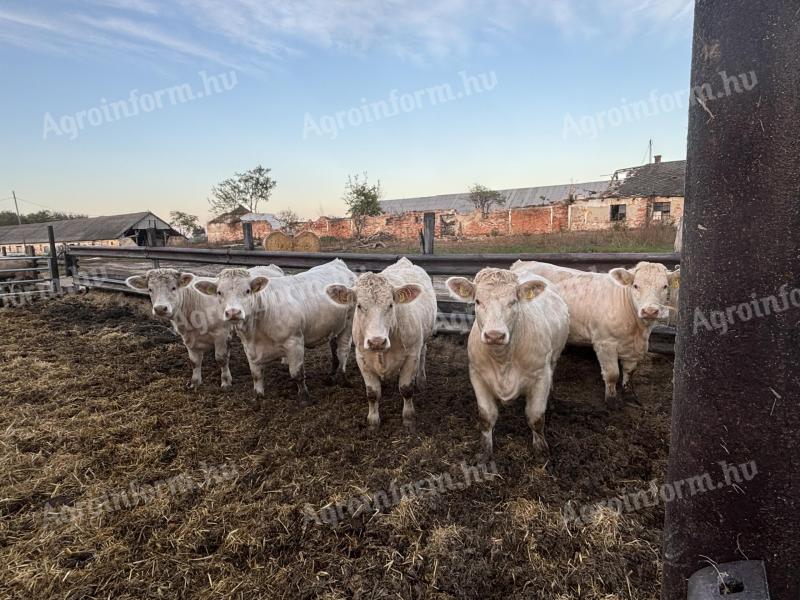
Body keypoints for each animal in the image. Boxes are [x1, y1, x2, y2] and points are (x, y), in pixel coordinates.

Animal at [125, 268, 284, 390]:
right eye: (150, 289)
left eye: (173, 288)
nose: (160, 308)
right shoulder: (188, 338)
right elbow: (194, 361)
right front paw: (195, 383)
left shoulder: (221, 334)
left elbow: (221, 359)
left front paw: (226, 382)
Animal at [192, 258, 354, 404]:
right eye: (219, 292)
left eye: (247, 291)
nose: (233, 312)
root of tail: (338, 262)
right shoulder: (249, 348)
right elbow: (256, 374)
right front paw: (258, 395)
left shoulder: (294, 342)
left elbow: (297, 373)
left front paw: (304, 398)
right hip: (335, 326)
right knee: (334, 347)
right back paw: (332, 372)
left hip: (348, 325)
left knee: (343, 351)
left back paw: (341, 377)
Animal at [324, 258, 438, 432]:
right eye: (359, 306)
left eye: (390, 305)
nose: (377, 341)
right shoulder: (362, 358)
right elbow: (372, 393)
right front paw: (373, 420)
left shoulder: (412, 355)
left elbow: (406, 389)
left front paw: (409, 418)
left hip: (424, 339)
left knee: (423, 355)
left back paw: (421, 381)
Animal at [444, 268, 568, 454]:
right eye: (478, 301)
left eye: (513, 301)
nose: (494, 335)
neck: (502, 359)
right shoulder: (477, 375)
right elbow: (486, 416)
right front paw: (485, 450)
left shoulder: (541, 376)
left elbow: (536, 417)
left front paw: (540, 449)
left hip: (554, 357)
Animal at [516, 260, 680, 406]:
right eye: (636, 286)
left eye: (665, 286)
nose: (650, 311)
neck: (637, 331)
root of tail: (521, 264)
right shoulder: (604, 343)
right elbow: (612, 374)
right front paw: (611, 401)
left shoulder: (633, 347)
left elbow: (629, 371)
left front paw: (629, 395)